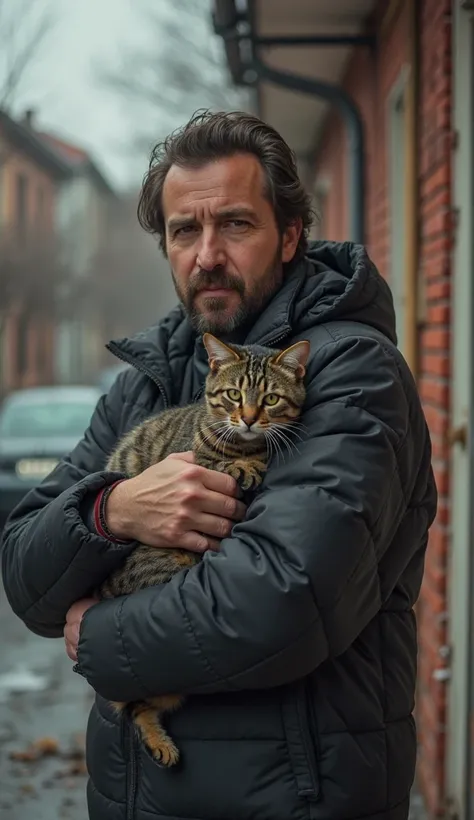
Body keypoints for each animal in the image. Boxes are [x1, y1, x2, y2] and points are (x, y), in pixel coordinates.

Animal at [99, 330, 312, 764]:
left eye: (270, 399)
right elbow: (213, 463)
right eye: (233, 395)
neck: (246, 446)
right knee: (133, 703)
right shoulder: (186, 463)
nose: (248, 418)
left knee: (139, 704)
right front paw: (243, 466)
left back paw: (158, 742)